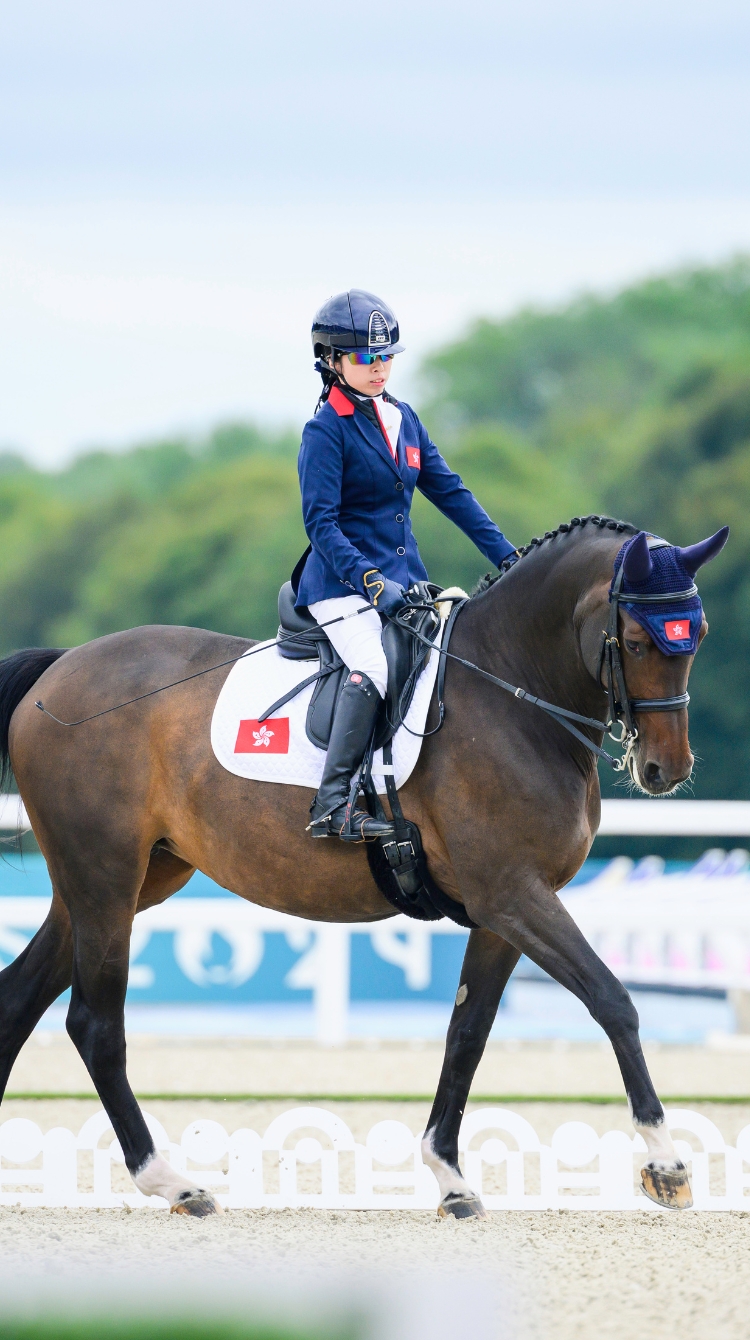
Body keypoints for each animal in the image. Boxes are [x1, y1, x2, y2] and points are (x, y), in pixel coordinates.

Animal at [0, 513, 723, 1217]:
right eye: (637, 641)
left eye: (698, 636)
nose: (666, 769)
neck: (513, 695)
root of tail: (60, 668)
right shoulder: (514, 895)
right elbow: (613, 1000)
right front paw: (667, 1165)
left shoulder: (504, 912)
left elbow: (468, 1031)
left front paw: (450, 1178)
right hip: (104, 878)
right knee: (95, 1023)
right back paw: (174, 1184)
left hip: (124, 882)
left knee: (21, 998)